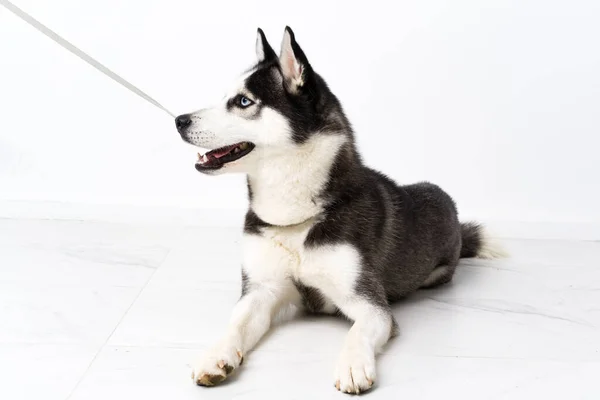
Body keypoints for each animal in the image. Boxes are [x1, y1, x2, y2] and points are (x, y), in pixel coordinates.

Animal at [175, 27, 506, 394]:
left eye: (243, 102)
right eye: (225, 98)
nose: (179, 120)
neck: (295, 220)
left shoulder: (369, 302)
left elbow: (358, 330)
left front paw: (352, 365)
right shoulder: (261, 290)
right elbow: (235, 323)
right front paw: (215, 354)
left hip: (437, 271)